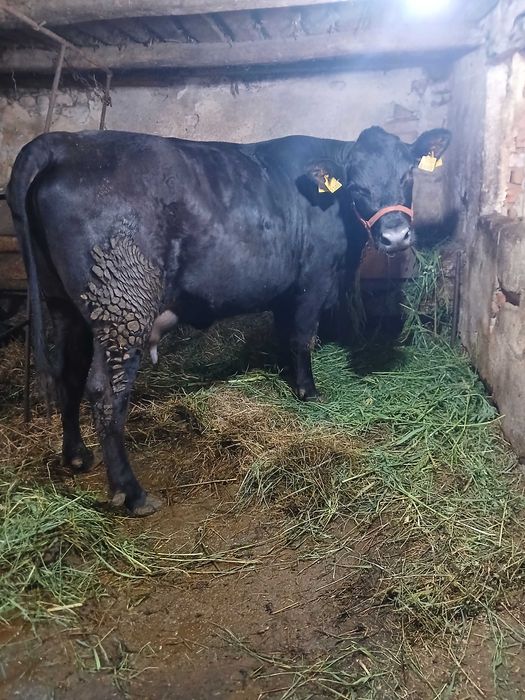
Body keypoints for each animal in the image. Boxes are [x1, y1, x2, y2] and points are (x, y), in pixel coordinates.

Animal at [7, 125, 450, 515]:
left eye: (407, 175)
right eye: (357, 186)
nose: (395, 236)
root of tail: (65, 143)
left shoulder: (284, 289)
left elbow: (284, 335)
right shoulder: (313, 279)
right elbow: (301, 336)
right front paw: (309, 392)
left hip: (66, 303)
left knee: (69, 373)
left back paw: (76, 457)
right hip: (122, 305)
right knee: (104, 392)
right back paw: (132, 494)